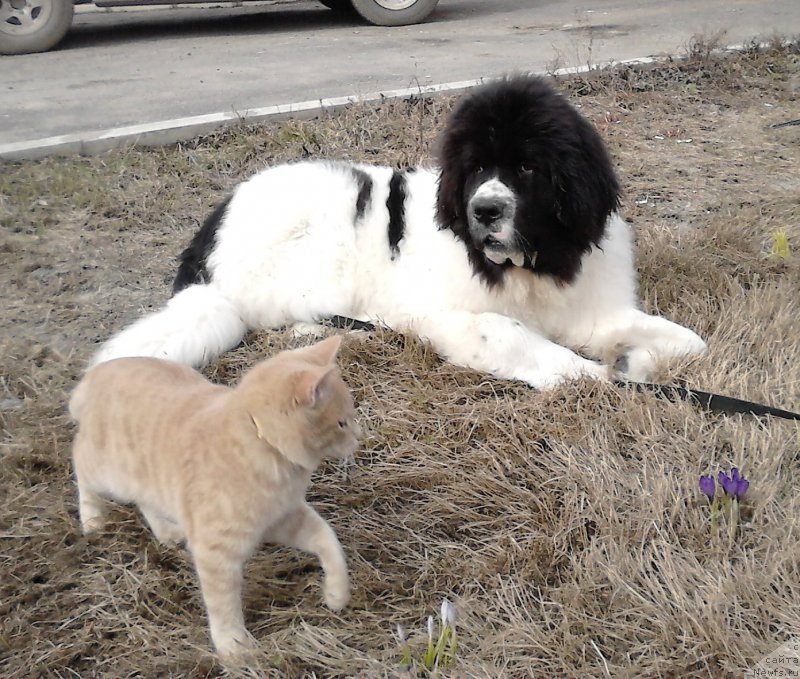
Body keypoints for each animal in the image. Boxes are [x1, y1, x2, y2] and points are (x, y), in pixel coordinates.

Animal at [70, 336, 358, 660]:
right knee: (79, 460)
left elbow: (328, 540)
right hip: (108, 473)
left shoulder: (284, 518)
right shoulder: (216, 553)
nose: (359, 437)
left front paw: (336, 593)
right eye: (342, 424)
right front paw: (233, 646)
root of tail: (94, 375)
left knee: (146, 500)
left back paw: (167, 531)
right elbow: (222, 604)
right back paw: (92, 519)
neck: (262, 445)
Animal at [94, 74, 708, 388]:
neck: (530, 265)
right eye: (476, 169)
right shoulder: (451, 316)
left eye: (528, 168)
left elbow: (690, 345)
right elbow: (531, 346)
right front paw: (598, 372)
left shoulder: (593, 308)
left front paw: (636, 359)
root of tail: (209, 236)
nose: (484, 211)